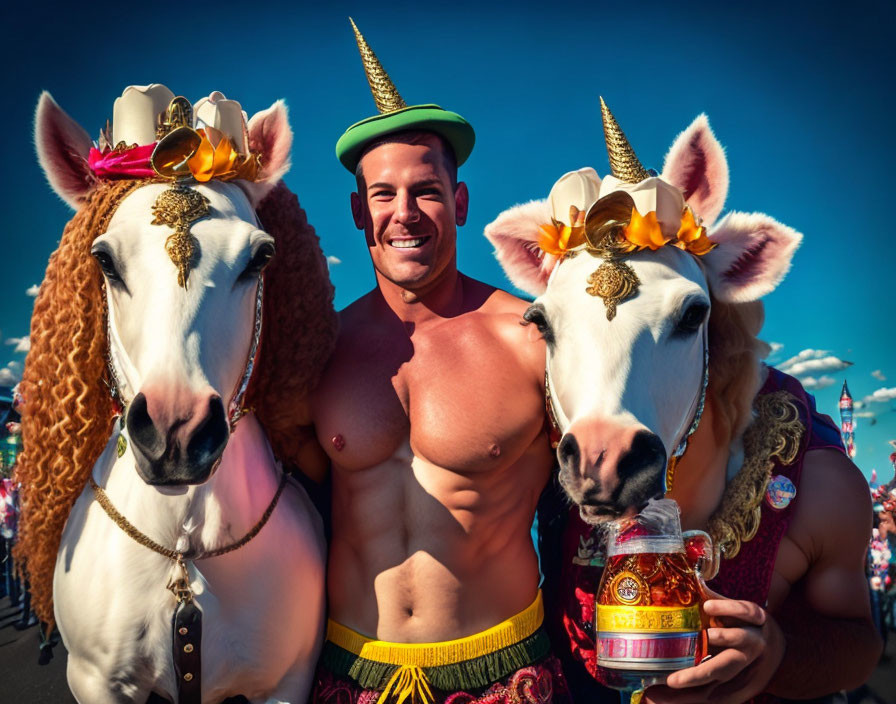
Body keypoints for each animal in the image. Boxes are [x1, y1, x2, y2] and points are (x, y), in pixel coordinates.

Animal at [21, 85, 336, 700]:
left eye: (261, 257)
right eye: (103, 259)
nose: (176, 434)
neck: (183, 546)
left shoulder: (288, 679)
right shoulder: (94, 680)